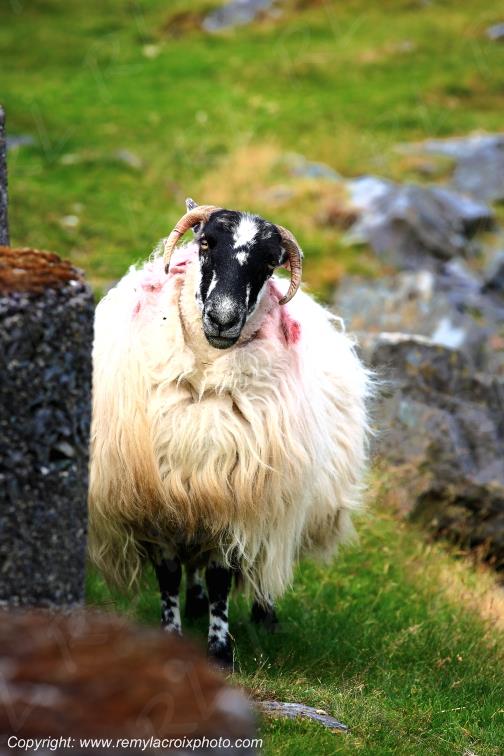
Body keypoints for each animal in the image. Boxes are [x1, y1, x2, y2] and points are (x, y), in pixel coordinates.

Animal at [89, 199, 371, 668]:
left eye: (269, 262)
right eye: (206, 243)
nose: (223, 318)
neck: (204, 379)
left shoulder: (234, 502)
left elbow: (222, 576)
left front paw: (220, 650)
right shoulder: (160, 501)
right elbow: (169, 575)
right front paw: (173, 634)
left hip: (281, 503)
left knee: (263, 566)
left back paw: (265, 614)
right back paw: (196, 602)